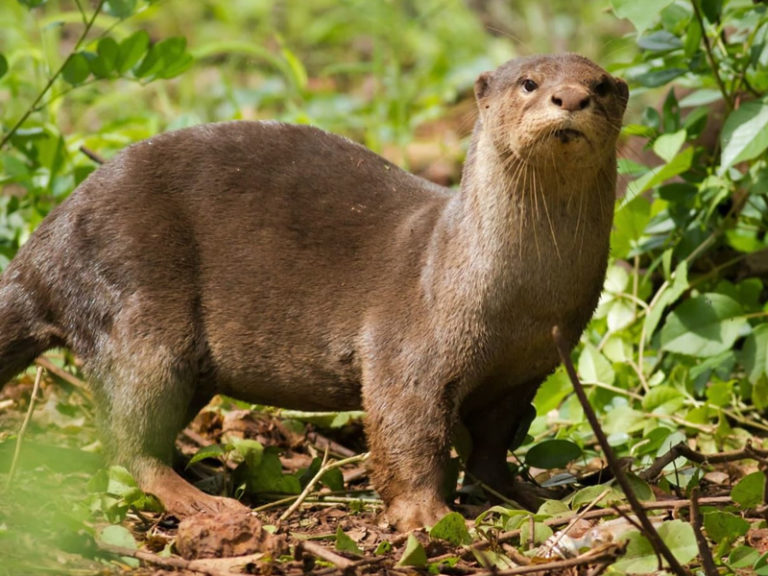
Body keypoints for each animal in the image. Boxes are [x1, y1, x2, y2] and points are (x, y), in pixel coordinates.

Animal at [0, 55, 624, 532]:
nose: (570, 98)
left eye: (598, 84)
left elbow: (494, 446)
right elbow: (408, 430)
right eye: (530, 83)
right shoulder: (409, 351)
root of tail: (44, 243)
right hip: (135, 304)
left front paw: (534, 495)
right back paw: (203, 501)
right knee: (126, 439)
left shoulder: (528, 367)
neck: (520, 300)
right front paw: (424, 515)